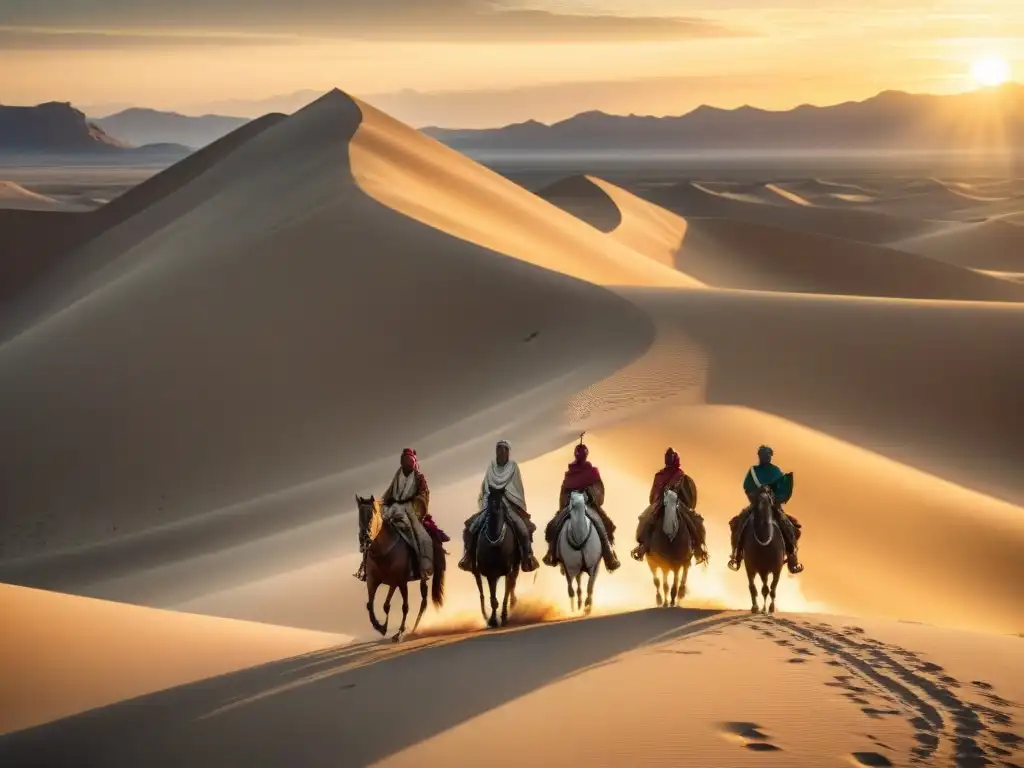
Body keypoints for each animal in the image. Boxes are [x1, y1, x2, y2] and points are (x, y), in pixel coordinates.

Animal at [356, 493, 444, 643]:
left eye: (373, 513)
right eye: (359, 516)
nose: (365, 538)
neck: (383, 552)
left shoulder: (401, 582)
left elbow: (404, 607)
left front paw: (399, 633)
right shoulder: (373, 582)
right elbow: (371, 605)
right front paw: (380, 627)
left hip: (419, 577)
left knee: (423, 600)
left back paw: (413, 628)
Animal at [471, 489, 520, 626]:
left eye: (500, 501)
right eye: (488, 499)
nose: (493, 511)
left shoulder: (507, 570)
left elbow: (506, 592)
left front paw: (503, 616)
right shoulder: (490, 573)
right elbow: (493, 598)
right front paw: (493, 620)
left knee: (513, 582)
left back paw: (512, 603)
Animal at [741, 483, 786, 618]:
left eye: (770, 496)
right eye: (756, 497)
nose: (762, 506)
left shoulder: (777, 568)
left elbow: (772, 588)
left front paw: (770, 608)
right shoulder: (753, 567)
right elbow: (756, 587)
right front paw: (758, 608)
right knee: (757, 586)